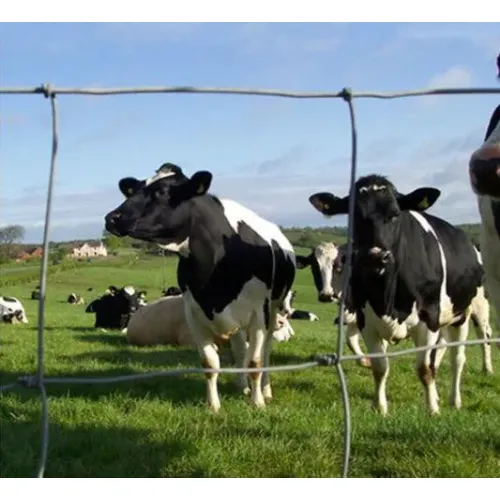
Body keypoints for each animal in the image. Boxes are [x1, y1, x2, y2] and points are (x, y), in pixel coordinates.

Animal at [103, 162, 294, 412]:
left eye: (161, 192)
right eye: (134, 190)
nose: (111, 218)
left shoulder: (258, 314)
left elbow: (256, 361)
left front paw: (258, 402)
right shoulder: (194, 313)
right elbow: (210, 363)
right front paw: (213, 405)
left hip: (272, 309)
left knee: (266, 350)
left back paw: (265, 390)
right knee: (240, 349)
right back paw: (241, 385)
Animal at [306, 174, 486, 416]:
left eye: (395, 215)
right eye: (354, 217)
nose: (376, 256)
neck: (388, 298)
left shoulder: (428, 318)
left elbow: (423, 368)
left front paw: (432, 409)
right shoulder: (365, 319)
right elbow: (380, 367)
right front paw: (380, 407)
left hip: (463, 314)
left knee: (457, 357)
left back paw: (453, 400)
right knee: (440, 352)